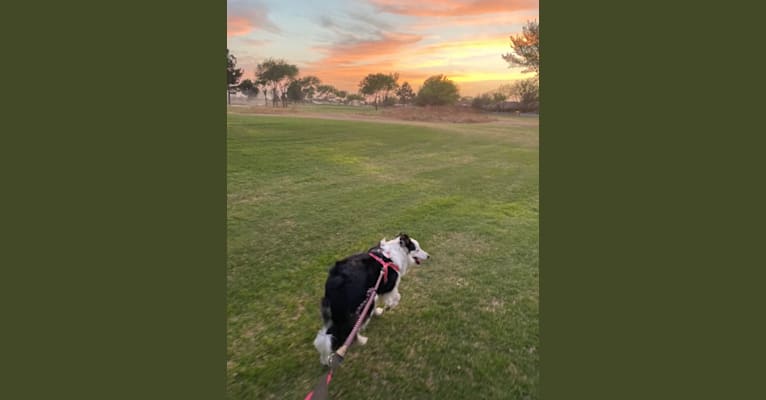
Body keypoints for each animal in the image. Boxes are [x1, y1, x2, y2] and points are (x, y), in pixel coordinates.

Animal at [314, 231, 432, 366]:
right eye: (417, 249)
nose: (428, 256)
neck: (398, 252)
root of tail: (334, 282)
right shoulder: (390, 286)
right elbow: (397, 297)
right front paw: (389, 306)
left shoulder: (375, 290)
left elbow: (377, 301)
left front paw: (379, 312)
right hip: (358, 305)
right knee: (346, 330)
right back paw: (359, 340)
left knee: (326, 336)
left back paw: (325, 359)